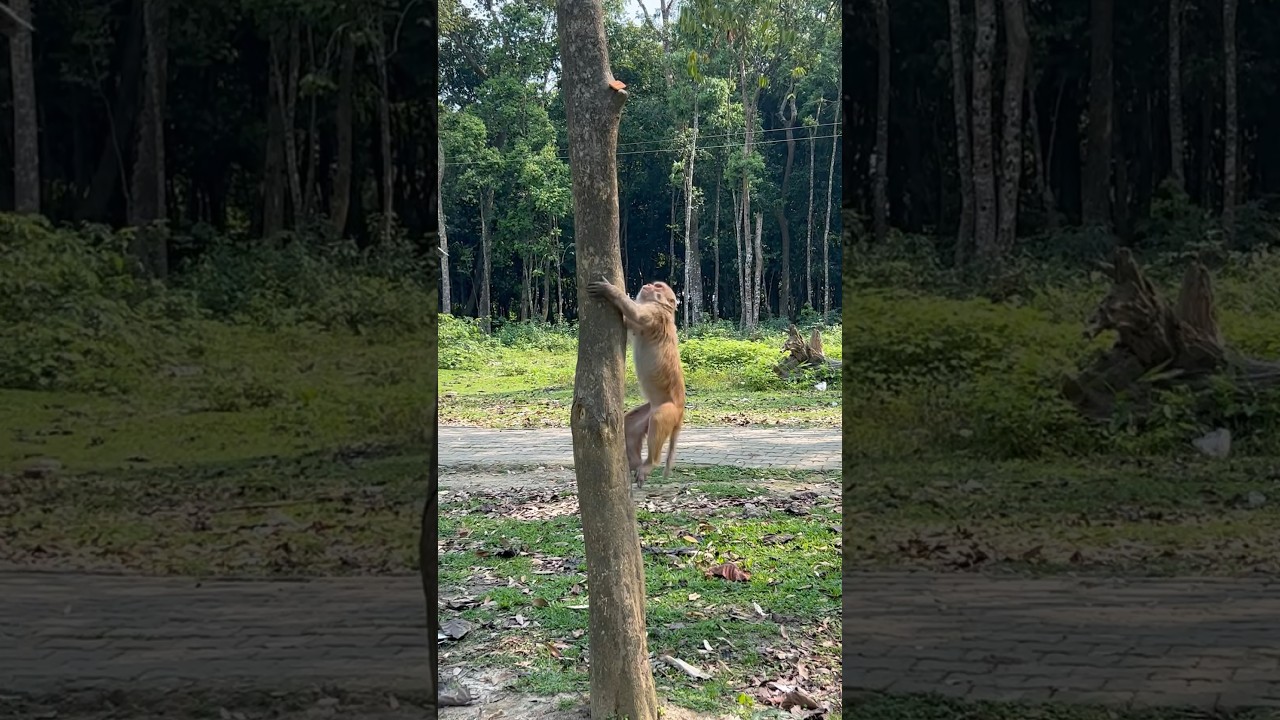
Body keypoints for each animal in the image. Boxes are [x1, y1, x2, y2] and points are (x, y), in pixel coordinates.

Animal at [586, 277, 686, 487]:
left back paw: (649, 464)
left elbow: (637, 314)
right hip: (649, 409)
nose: (647, 284)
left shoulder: (655, 314)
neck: (666, 310)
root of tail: (681, 409)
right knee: (630, 425)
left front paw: (610, 290)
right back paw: (634, 462)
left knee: (658, 420)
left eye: (658, 286)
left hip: (668, 411)